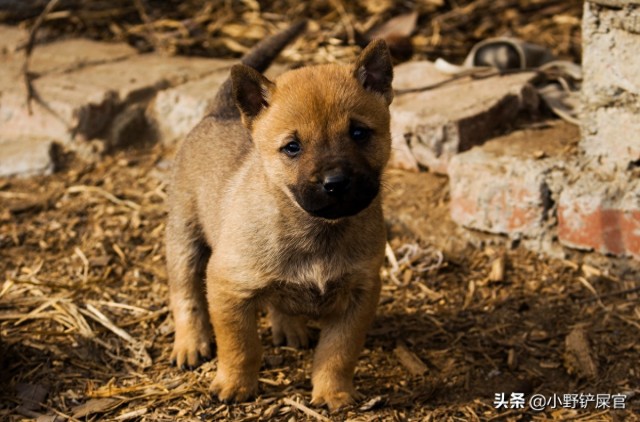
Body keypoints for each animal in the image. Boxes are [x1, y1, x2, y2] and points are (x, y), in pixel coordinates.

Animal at [165, 21, 392, 410]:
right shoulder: (227, 288)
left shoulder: (361, 293)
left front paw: (333, 392)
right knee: (186, 295)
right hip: (184, 242)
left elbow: (338, 351)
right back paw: (190, 343)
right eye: (292, 147)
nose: (336, 183)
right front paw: (235, 384)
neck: (316, 230)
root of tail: (218, 113)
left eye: (359, 133)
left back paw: (288, 327)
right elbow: (240, 346)